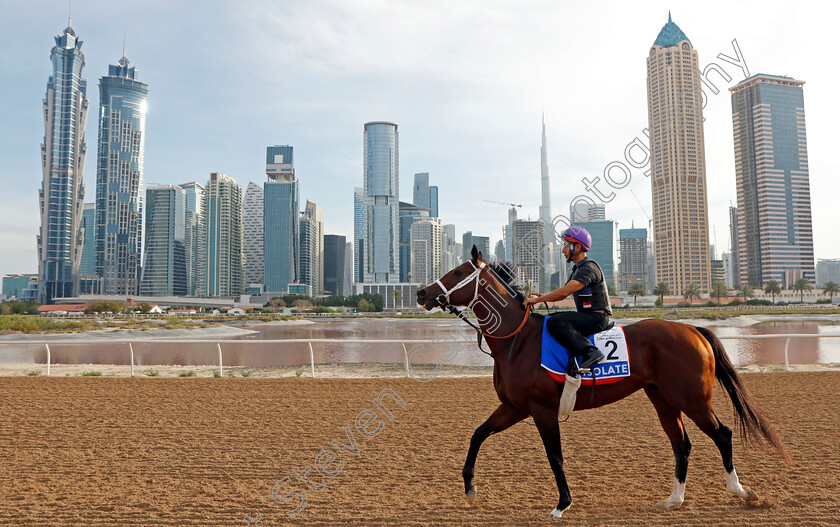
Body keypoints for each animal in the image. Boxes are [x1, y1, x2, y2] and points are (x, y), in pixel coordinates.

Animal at [416, 249, 792, 520]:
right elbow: (478, 434)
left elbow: (555, 456)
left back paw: (740, 491)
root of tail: (693, 329)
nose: (422, 292)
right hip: (663, 399)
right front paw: (469, 488)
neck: (517, 340)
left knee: (722, 434)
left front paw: (562, 504)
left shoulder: (541, 409)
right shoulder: (514, 407)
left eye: (458, 272)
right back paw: (673, 499)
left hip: (693, 400)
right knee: (682, 444)